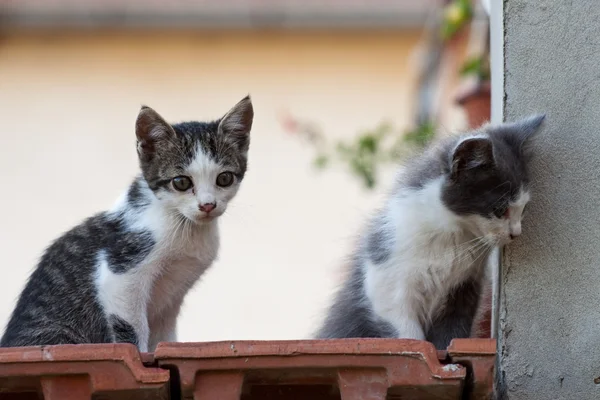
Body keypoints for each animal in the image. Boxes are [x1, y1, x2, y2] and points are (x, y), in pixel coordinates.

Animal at [1, 94, 253, 350]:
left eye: (224, 178)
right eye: (181, 182)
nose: (208, 205)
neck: (184, 225)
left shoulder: (171, 299)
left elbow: (164, 337)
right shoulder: (120, 272)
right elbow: (132, 328)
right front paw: (141, 353)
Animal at [316, 114, 548, 348]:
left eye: (523, 208)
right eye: (500, 209)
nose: (515, 233)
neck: (453, 235)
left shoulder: (463, 289)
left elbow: (451, 332)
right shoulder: (385, 284)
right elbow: (408, 335)